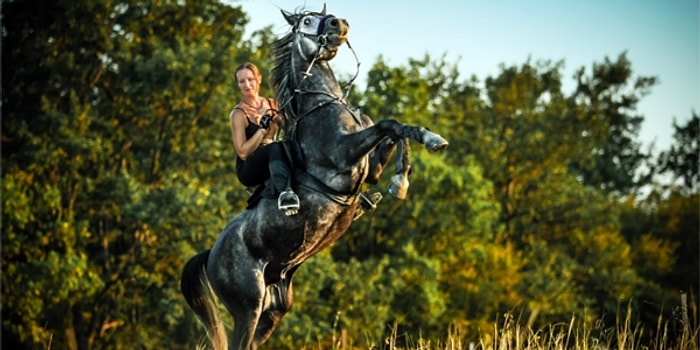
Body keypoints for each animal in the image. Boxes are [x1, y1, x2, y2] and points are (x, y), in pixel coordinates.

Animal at [178, 6, 446, 350]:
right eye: (306, 20)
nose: (339, 23)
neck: (322, 103)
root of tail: (211, 254)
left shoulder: (370, 168)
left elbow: (394, 129)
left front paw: (422, 151)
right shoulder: (343, 153)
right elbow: (387, 124)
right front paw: (406, 174)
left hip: (275, 307)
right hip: (248, 306)